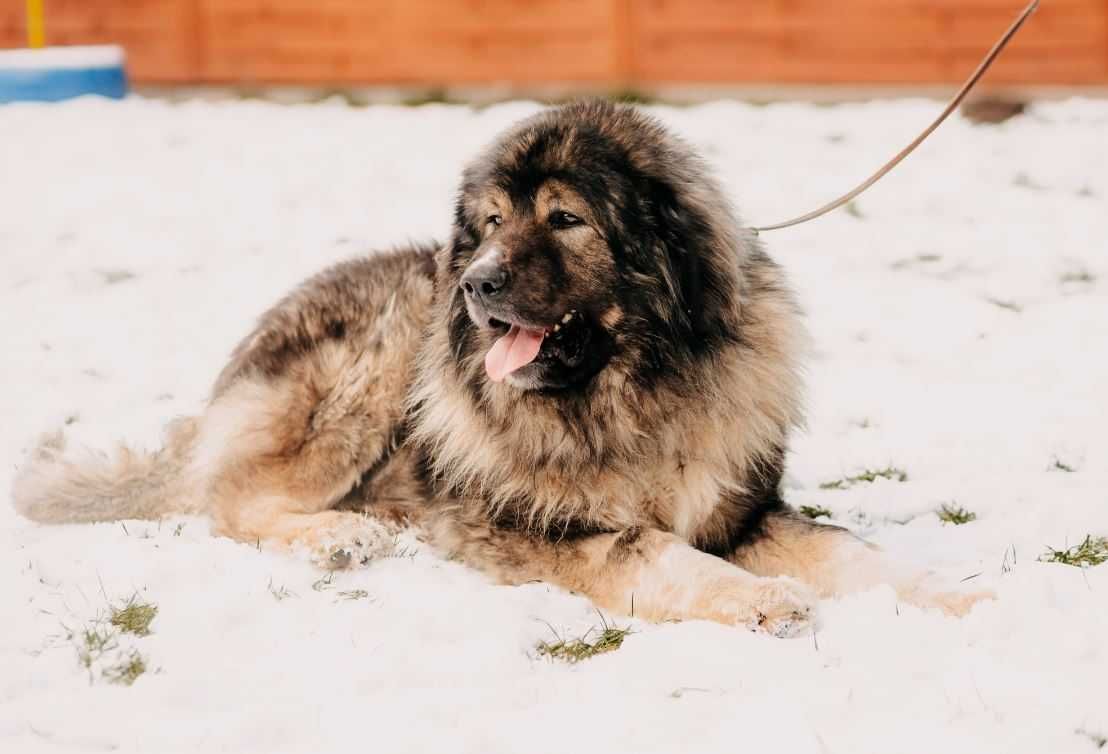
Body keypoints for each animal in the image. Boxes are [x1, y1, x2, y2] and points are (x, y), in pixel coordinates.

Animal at [13, 96, 992, 633]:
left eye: (564, 220)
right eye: (489, 222)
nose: (476, 282)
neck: (631, 394)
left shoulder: (743, 510)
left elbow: (853, 554)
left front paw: (953, 593)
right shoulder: (540, 528)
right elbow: (656, 550)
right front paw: (763, 602)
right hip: (370, 367)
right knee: (231, 501)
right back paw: (338, 535)